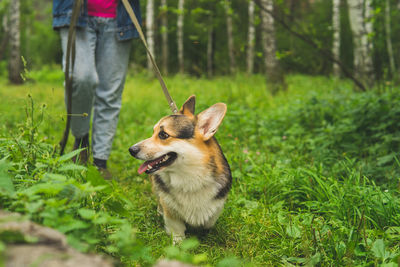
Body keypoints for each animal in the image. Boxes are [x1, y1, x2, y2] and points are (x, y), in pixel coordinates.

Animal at [130, 96, 231, 243]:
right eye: (153, 132)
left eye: (163, 135)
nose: (131, 150)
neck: (190, 177)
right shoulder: (170, 210)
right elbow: (176, 230)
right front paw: (179, 243)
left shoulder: (218, 203)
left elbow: (210, 219)